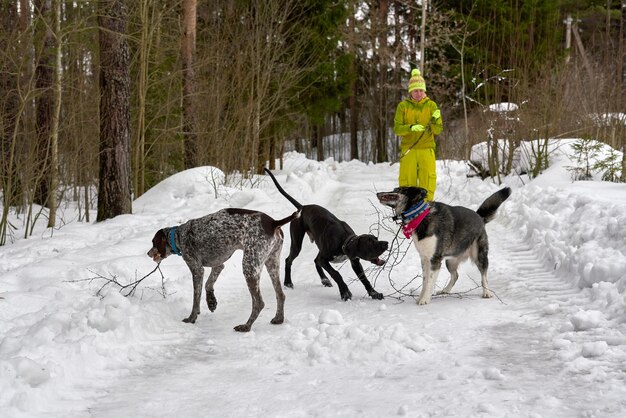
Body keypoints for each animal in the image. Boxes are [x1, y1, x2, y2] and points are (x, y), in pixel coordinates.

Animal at [149, 207, 300, 332]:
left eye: (153, 242)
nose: (148, 253)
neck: (178, 236)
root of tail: (273, 222)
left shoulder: (197, 269)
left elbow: (196, 299)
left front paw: (191, 318)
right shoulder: (218, 265)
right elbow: (208, 284)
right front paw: (211, 302)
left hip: (249, 267)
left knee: (259, 303)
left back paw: (246, 326)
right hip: (271, 264)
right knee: (280, 295)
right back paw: (278, 318)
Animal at [376, 188, 508, 306]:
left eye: (397, 190)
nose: (378, 193)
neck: (420, 215)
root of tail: (479, 217)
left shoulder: (434, 260)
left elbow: (429, 282)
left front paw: (425, 300)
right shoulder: (425, 259)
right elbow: (425, 281)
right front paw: (421, 297)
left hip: (479, 255)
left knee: (484, 275)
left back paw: (487, 292)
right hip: (450, 261)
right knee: (455, 275)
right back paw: (446, 290)